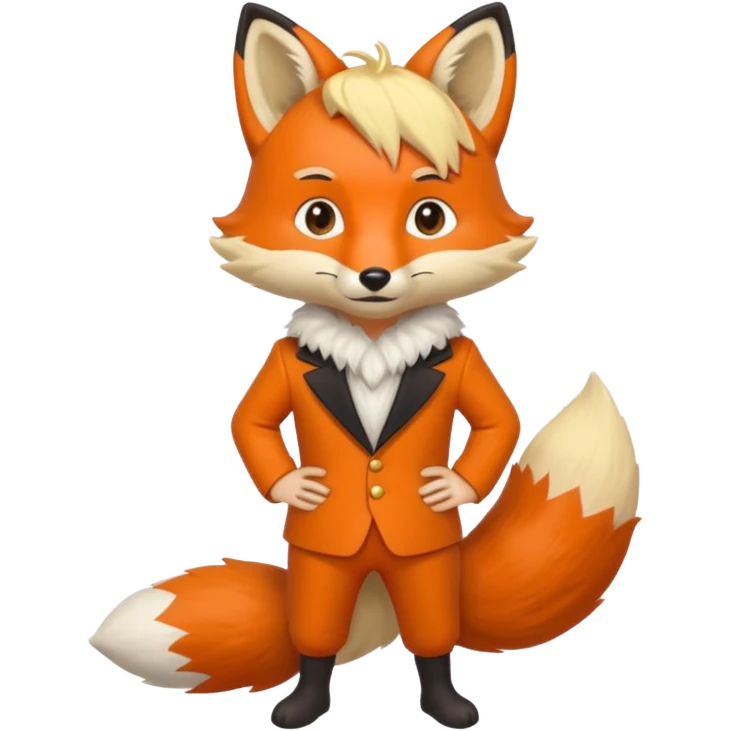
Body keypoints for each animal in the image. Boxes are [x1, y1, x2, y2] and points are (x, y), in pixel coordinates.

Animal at [88, 2, 641, 729]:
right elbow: (250, 424)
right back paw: (302, 702)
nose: (375, 276)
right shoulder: (278, 373)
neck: (375, 344)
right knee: (317, 629)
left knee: (430, 628)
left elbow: (498, 424)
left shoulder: (469, 371)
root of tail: (375, 581)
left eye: (430, 216)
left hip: (426, 562)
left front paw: (449, 488)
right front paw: (298, 487)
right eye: (318, 216)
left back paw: (446, 704)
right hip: (325, 564)